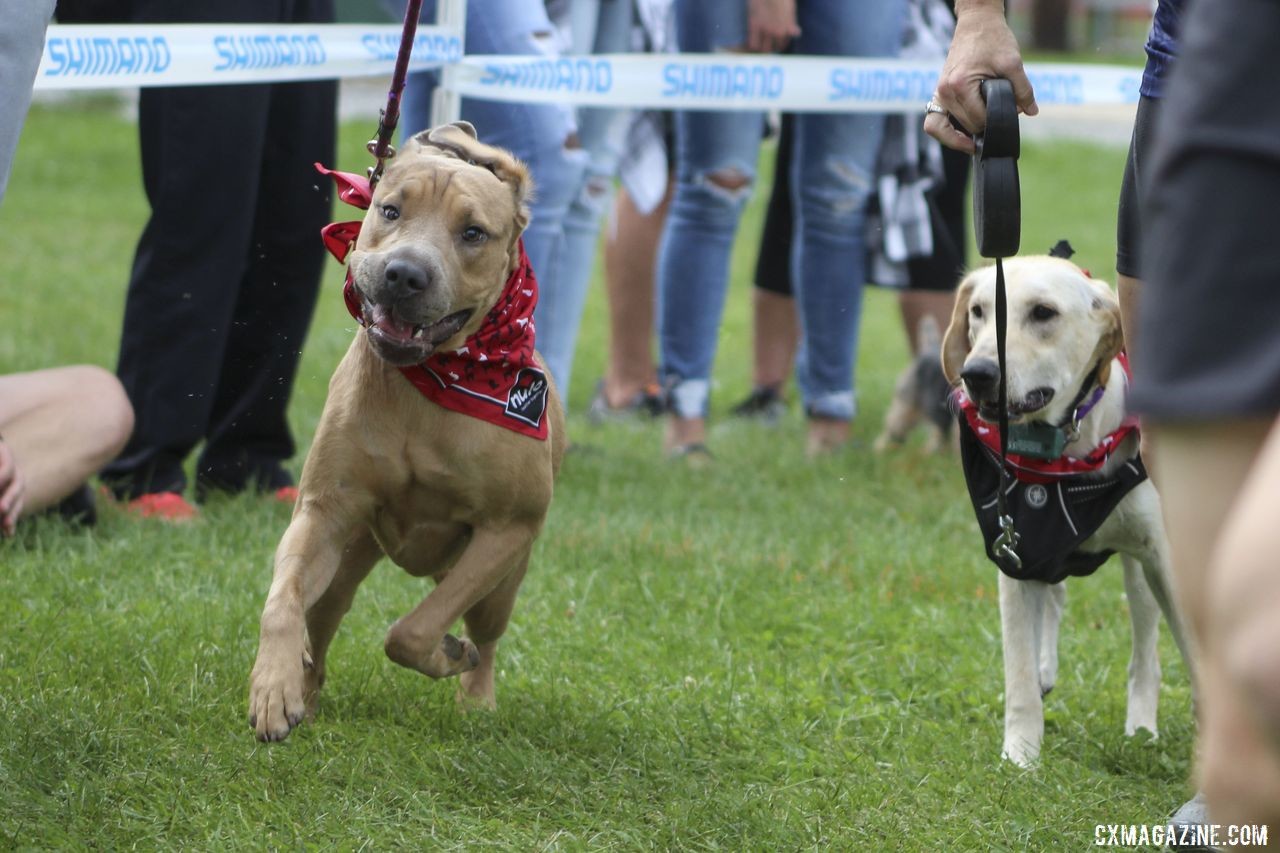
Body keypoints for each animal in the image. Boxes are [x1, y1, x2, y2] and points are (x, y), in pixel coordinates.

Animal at [248, 119, 565, 737]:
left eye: (473, 232)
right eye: (390, 210)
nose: (404, 273)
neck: (439, 378)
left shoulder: (507, 530)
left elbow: (412, 631)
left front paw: (446, 656)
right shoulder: (323, 511)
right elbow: (283, 598)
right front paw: (273, 686)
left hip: (503, 583)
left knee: (485, 634)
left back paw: (476, 697)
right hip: (350, 556)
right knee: (322, 618)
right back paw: (304, 689)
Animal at [947, 253, 1192, 763]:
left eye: (1044, 313)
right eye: (977, 311)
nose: (976, 373)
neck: (1064, 452)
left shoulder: (1164, 557)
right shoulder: (1016, 552)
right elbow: (1018, 671)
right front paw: (1021, 752)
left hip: (1142, 573)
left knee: (1146, 654)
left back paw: (1142, 726)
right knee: (1054, 599)